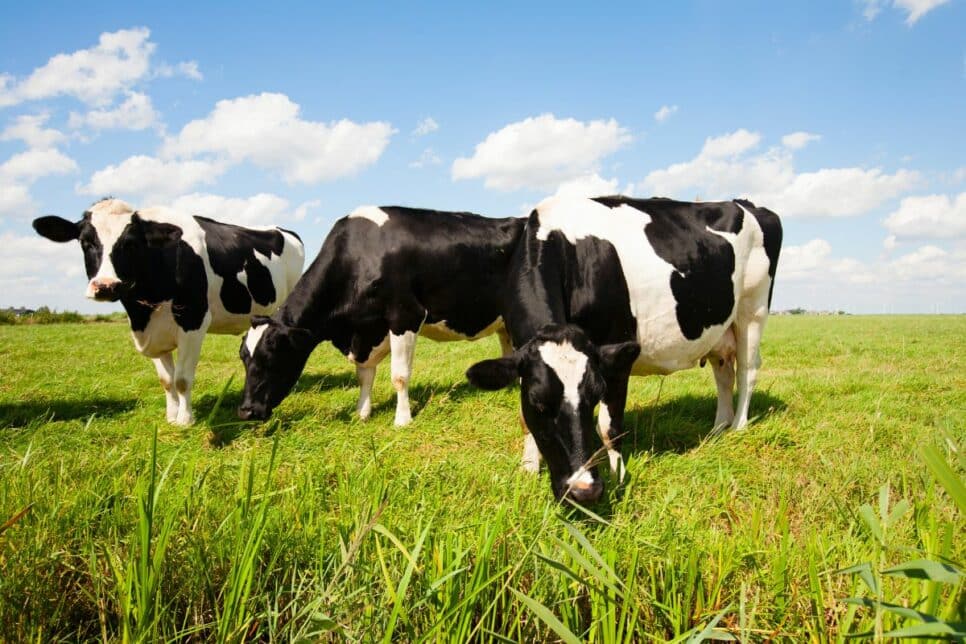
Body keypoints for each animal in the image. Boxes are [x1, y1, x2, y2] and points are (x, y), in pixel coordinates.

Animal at [33, 199, 306, 426]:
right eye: (85, 242)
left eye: (130, 244)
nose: (106, 286)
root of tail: (283, 230)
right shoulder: (151, 331)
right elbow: (166, 380)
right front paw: (171, 415)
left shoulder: (194, 320)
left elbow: (182, 378)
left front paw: (185, 420)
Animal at [235, 206, 524, 426]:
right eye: (244, 358)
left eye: (272, 356)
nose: (246, 411)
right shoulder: (365, 331)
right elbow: (364, 375)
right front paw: (362, 412)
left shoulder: (405, 316)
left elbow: (399, 375)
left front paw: (403, 419)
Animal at [466, 195, 784, 504]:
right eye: (538, 402)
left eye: (594, 395)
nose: (584, 490)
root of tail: (747, 203)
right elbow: (525, 419)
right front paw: (528, 469)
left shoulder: (616, 352)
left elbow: (609, 427)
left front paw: (618, 477)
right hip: (719, 330)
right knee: (724, 375)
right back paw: (718, 428)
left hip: (753, 310)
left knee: (746, 371)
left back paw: (738, 427)